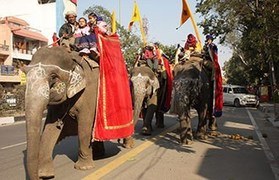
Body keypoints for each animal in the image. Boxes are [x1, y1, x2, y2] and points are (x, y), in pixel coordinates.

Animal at [23, 45, 100, 179]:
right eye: (25, 73)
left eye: (53, 76)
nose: (38, 177)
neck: (72, 58)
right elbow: (50, 129)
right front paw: (46, 174)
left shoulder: (89, 92)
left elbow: (85, 125)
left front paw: (84, 168)